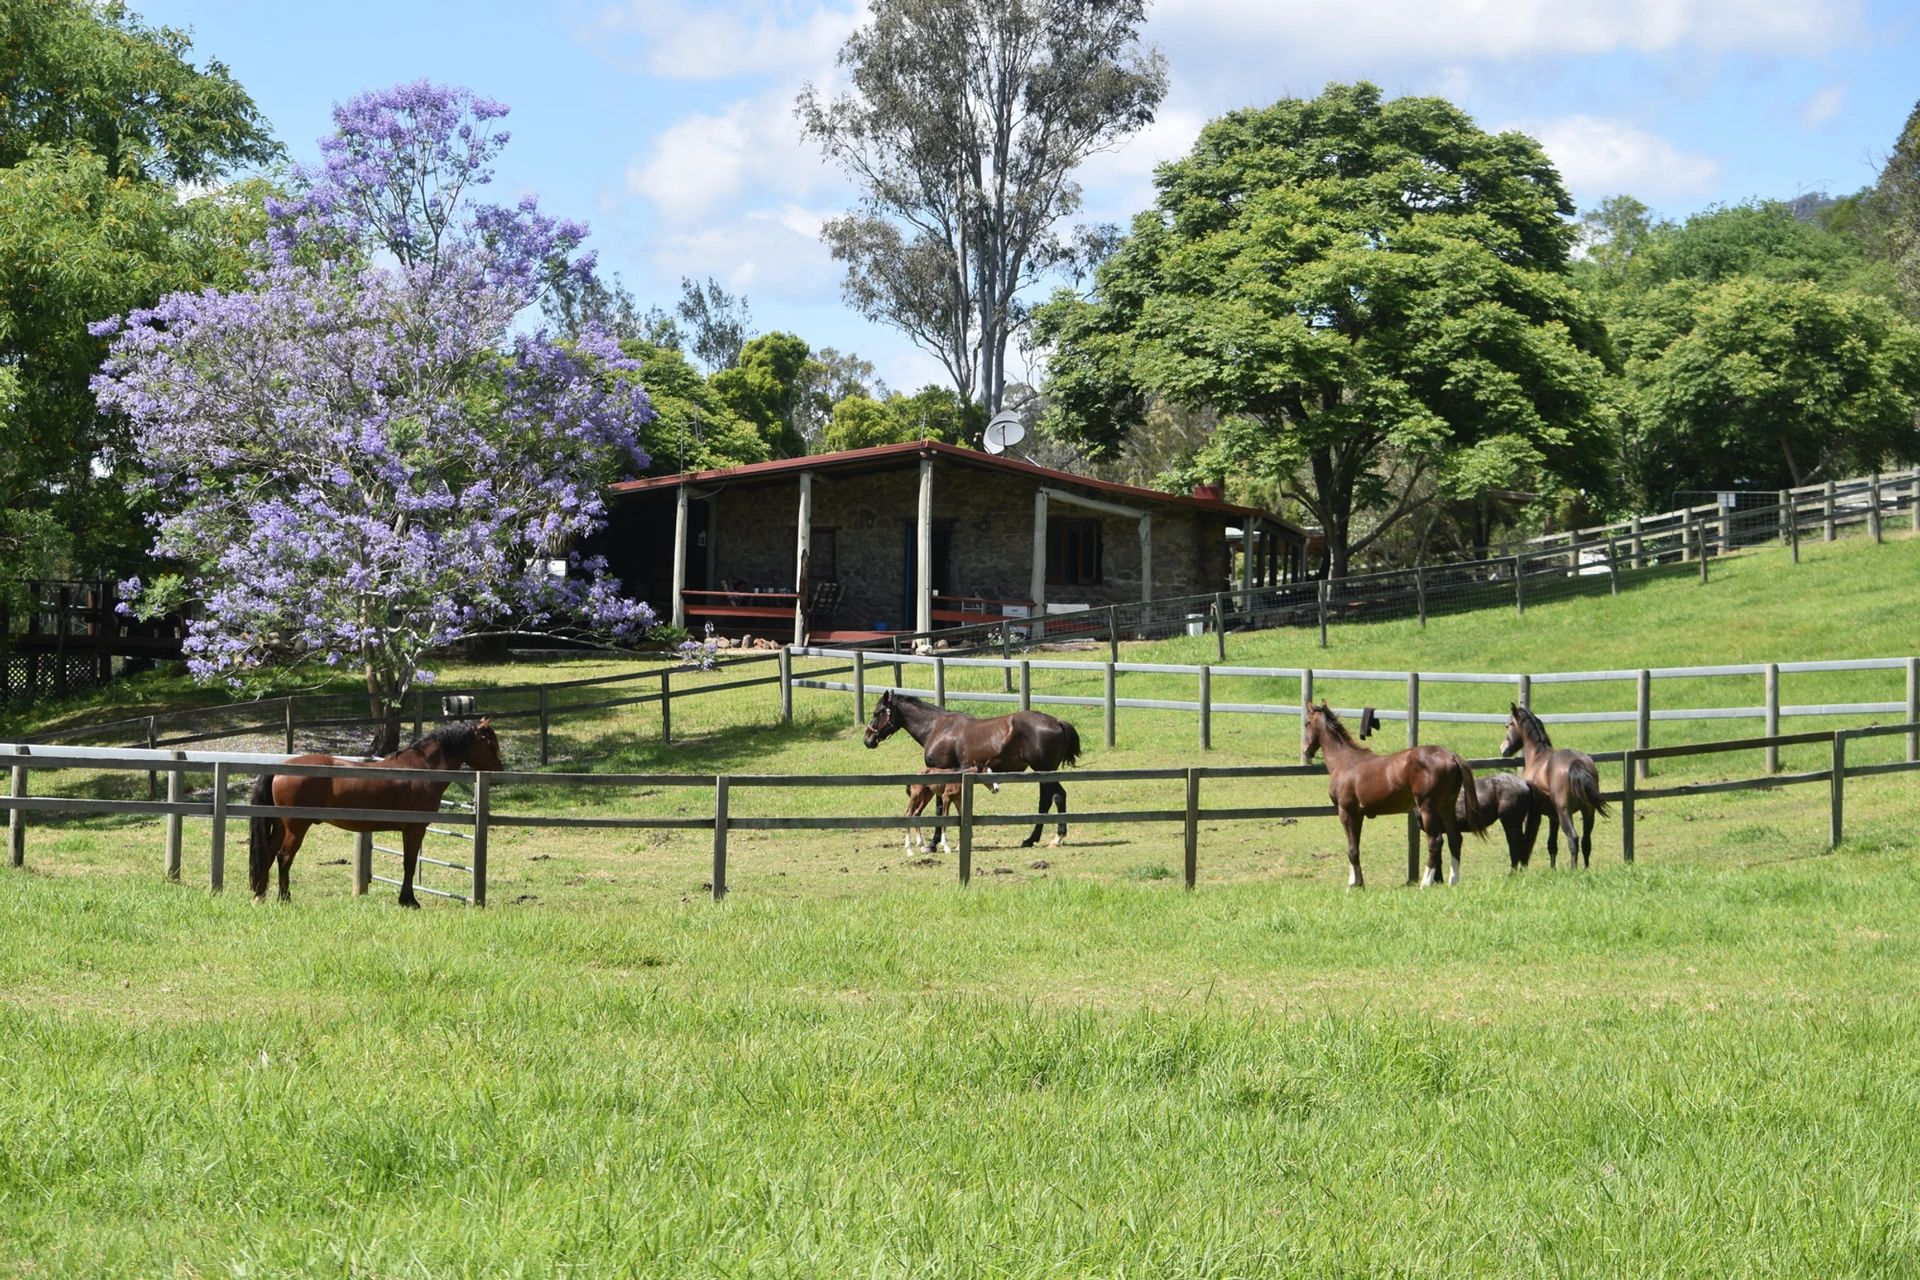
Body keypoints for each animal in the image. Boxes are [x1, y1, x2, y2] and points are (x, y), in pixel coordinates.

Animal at [247, 719, 504, 907]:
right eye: (490, 743)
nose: (499, 773)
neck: (420, 769)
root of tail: (280, 768)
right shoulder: (415, 829)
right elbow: (409, 863)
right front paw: (409, 901)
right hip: (296, 827)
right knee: (284, 858)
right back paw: (284, 898)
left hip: (281, 826)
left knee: (268, 855)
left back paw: (261, 896)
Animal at [864, 690, 1082, 847]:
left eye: (877, 713)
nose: (867, 739)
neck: (937, 727)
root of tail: (1059, 722)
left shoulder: (940, 772)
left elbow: (939, 808)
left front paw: (934, 843)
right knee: (1049, 800)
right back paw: (1034, 839)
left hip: (1044, 771)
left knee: (1055, 797)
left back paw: (1054, 838)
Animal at [1303, 701, 1484, 888]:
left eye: (1306, 723)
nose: (1306, 750)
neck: (1344, 761)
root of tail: (1452, 756)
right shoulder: (1358, 814)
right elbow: (1355, 847)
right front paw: (1355, 881)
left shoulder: (1347, 811)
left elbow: (1352, 849)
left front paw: (1356, 884)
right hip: (1446, 807)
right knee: (1455, 838)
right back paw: (1453, 880)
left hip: (1428, 809)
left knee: (1435, 841)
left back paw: (1425, 882)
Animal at [1501, 704, 1610, 869]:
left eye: (1508, 725)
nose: (1503, 750)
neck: (1537, 757)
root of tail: (1576, 763)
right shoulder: (1553, 816)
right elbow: (1552, 845)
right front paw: (1553, 869)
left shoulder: (1534, 815)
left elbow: (1528, 841)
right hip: (1588, 812)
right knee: (1586, 841)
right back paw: (1585, 868)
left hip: (1565, 813)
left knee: (1573, 838)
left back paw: (1574, 869)